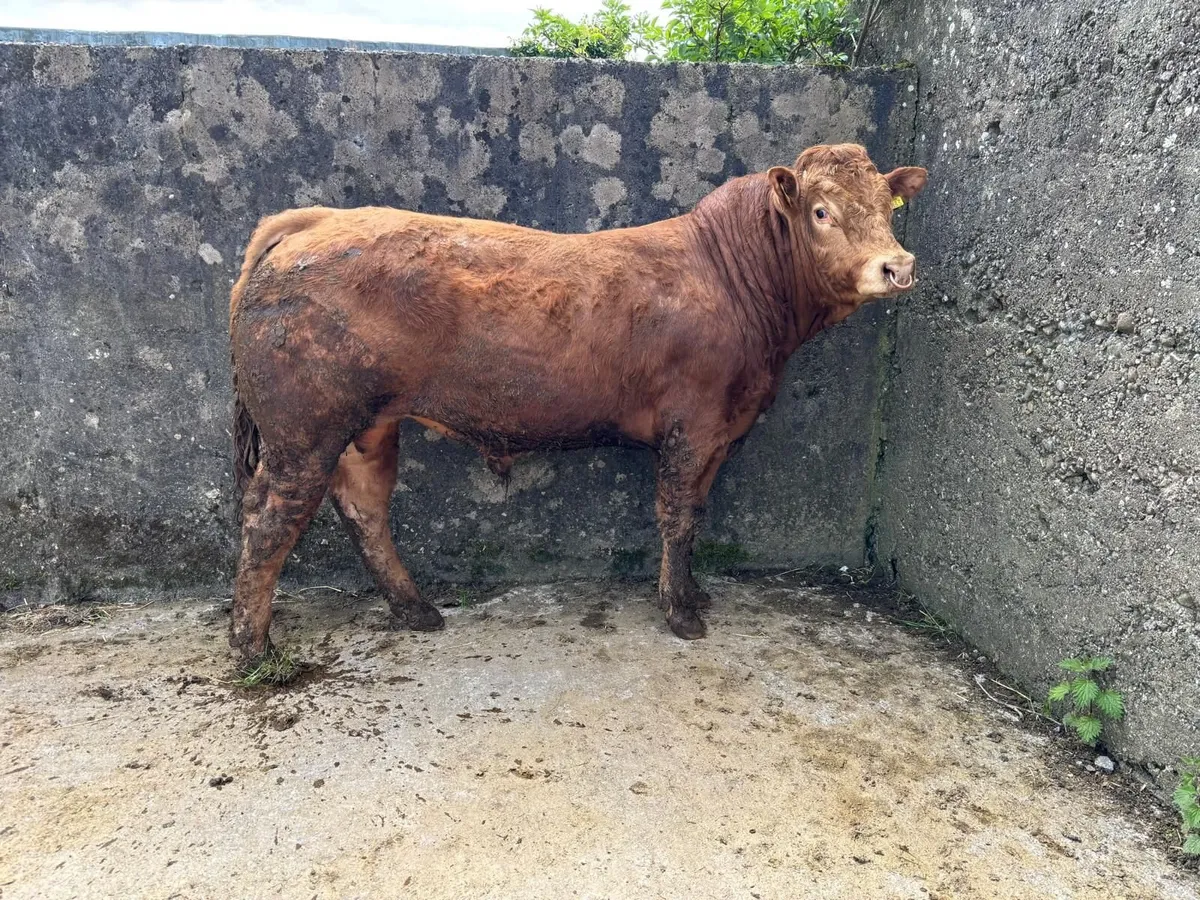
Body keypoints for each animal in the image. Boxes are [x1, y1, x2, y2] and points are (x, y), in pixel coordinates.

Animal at [228, 142, 926, 662]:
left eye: (886, 207)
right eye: (821, 211)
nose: (897, 266)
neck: (731, 277)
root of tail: (315, 220)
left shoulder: (721, 433)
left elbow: (696, 510)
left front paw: (694, 594)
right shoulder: (695, 425)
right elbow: (678, 515)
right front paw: (679, 611)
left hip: (367, 426)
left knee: (363, 507)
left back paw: (415, 609)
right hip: (303, 430)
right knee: (269, 521)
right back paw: (253, 648)